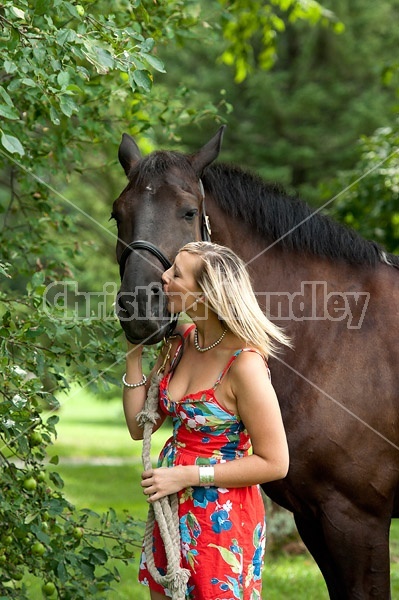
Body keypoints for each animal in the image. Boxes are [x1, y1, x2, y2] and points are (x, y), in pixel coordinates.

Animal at [111, 126, 399, 600]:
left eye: (189, 212)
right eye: (118, 215)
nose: (138, 306)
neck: (337, 334)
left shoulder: (358, 518)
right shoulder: (317, 518)